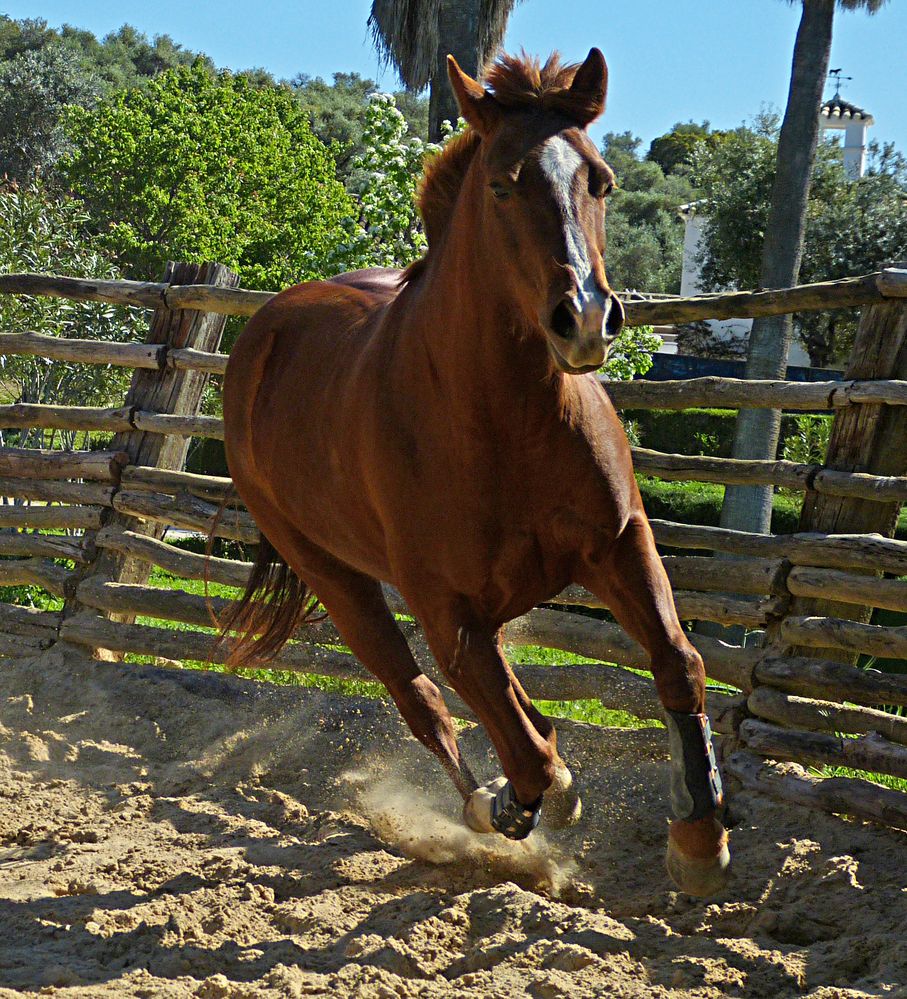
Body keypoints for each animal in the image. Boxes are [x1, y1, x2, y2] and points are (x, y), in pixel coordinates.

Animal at [225, 50, 732, 896]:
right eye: (502, 183)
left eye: (599, 181)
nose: (584, 319)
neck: (503, 421)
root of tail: (266, 328)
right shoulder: (444, 610)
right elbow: (520, 746)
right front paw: (520, 803)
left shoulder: (619, 544)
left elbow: (676, 663)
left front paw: (698, 839)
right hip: (335, 576)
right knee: (423, 699)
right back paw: (485, 806)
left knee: (514, 708)